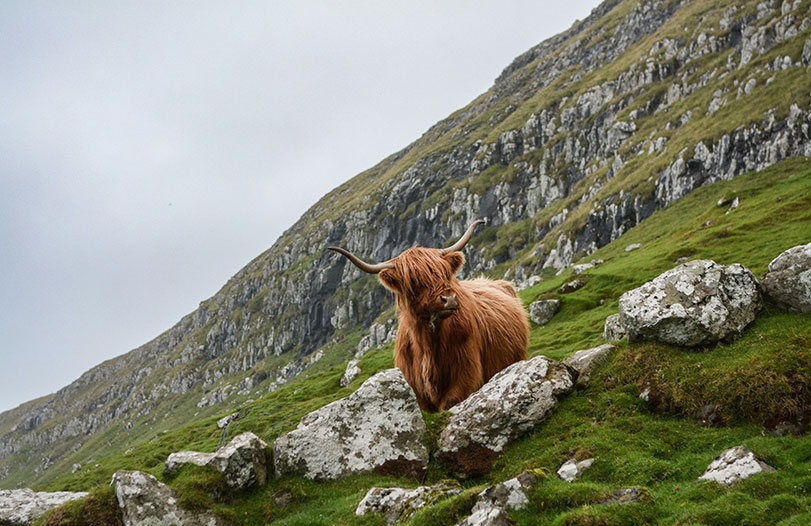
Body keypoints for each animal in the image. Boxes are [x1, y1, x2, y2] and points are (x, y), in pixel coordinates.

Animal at [329, 219, 529, 412]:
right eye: (414, 281)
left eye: (445, 273)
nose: (449, 299)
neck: (427, 345)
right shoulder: (415, 389)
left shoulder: (466, 375)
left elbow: (449, 403)